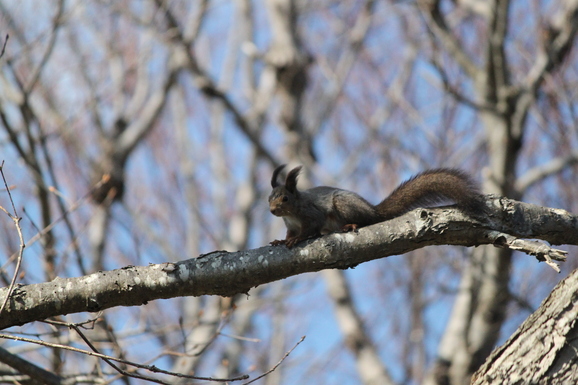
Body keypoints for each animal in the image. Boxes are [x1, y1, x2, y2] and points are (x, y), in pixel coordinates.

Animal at [268, 164, 484, 246]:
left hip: (343, 204)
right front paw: (281, 241)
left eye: (285, 199)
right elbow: (289, 234)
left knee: (364, 221)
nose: (272, 210)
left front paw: (298, 239)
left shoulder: (311, 213)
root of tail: (373, 211)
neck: (291, 214)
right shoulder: (291, 225)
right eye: (269, 198)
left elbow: (311, 227)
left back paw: (351, 225)